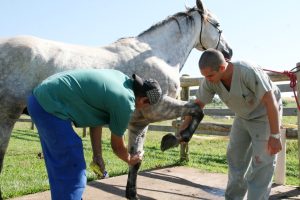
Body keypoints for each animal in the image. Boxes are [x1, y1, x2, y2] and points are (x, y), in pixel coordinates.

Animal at [0, 0, 232, 199]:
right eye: (218, 25)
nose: (228, 52)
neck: (159, 55)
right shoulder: (157, 108)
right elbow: (196, 111)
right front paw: (172, 139)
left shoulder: (139, 122)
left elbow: (135, 160)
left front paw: (132, 194)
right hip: (7, 117)